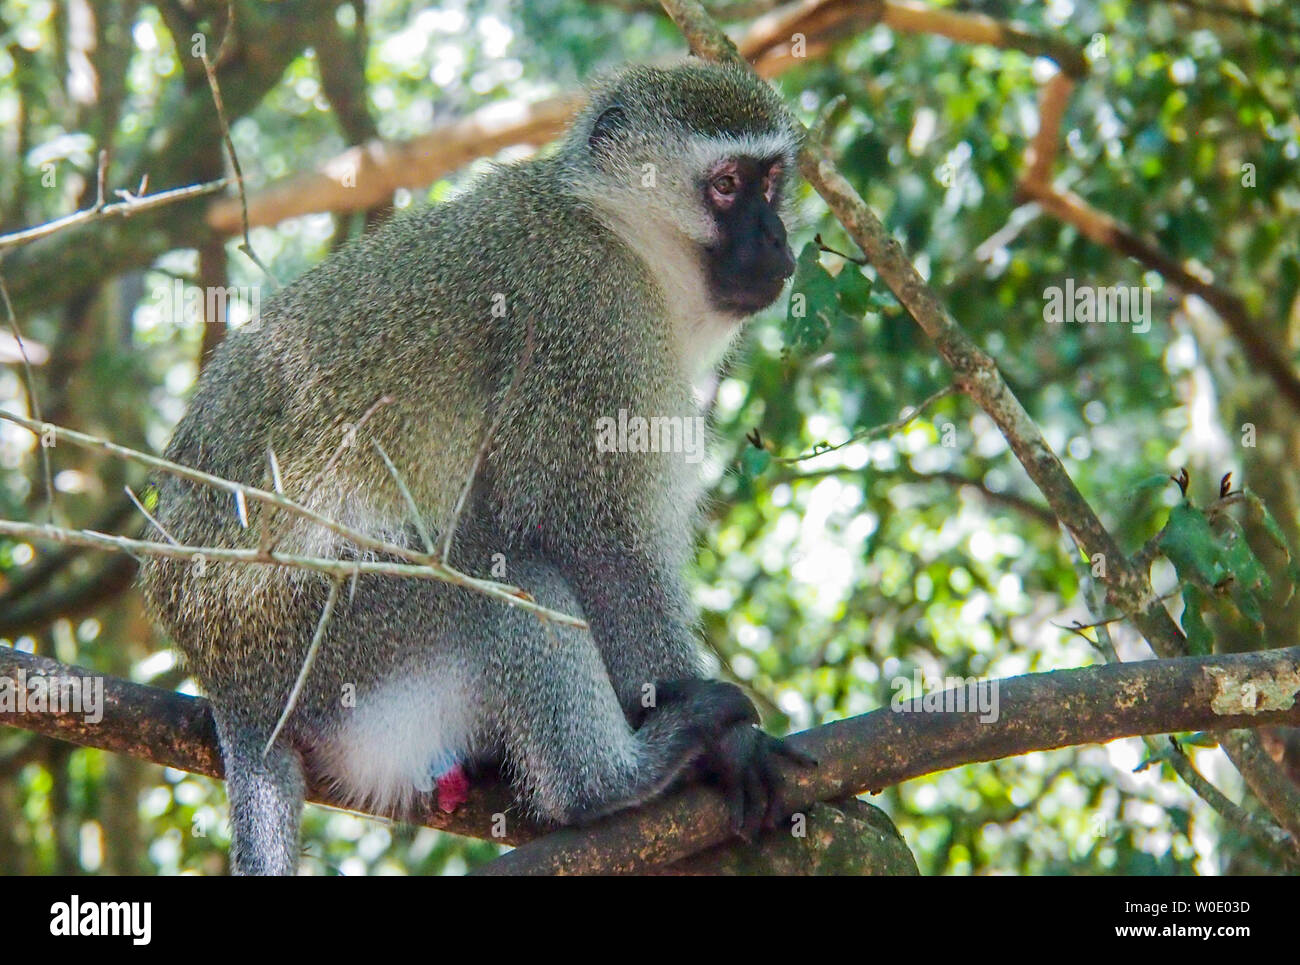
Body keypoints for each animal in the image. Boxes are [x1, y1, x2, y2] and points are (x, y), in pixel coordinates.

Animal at [138, 59, 810, 875]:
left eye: (770, 180)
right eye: (725, 185)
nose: (775, 236)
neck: (619, 232)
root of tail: (231, 684)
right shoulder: (588, 319)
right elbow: (587, 538)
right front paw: (731, 744)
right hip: (331, 639)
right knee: (504, 575)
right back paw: (605, 784)